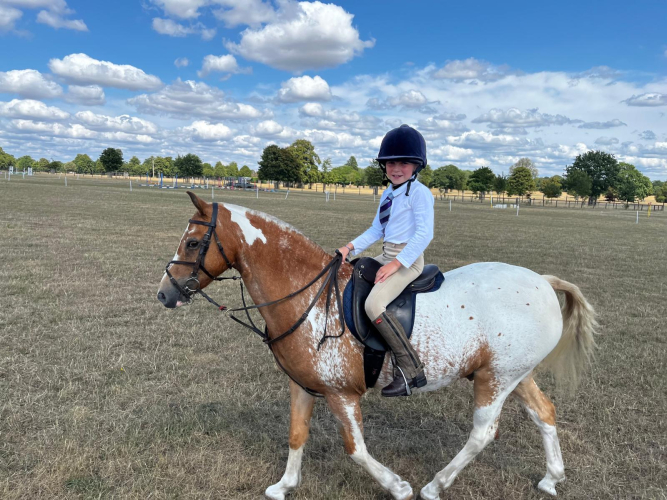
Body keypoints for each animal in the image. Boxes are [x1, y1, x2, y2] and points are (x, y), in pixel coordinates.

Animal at [157, 192, 597, 500]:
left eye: (193, 243)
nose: (165, 294)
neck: (309, 296)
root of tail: (542, 282)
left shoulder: (341, 393)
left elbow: (355, 448)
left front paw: (398, 487)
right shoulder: (303, 384)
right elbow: (296, 434)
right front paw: (284, 486)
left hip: (495, 379)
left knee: (483, 433)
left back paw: (434, 486)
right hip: (513, 374)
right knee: (544, 413)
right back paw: (551, 478)